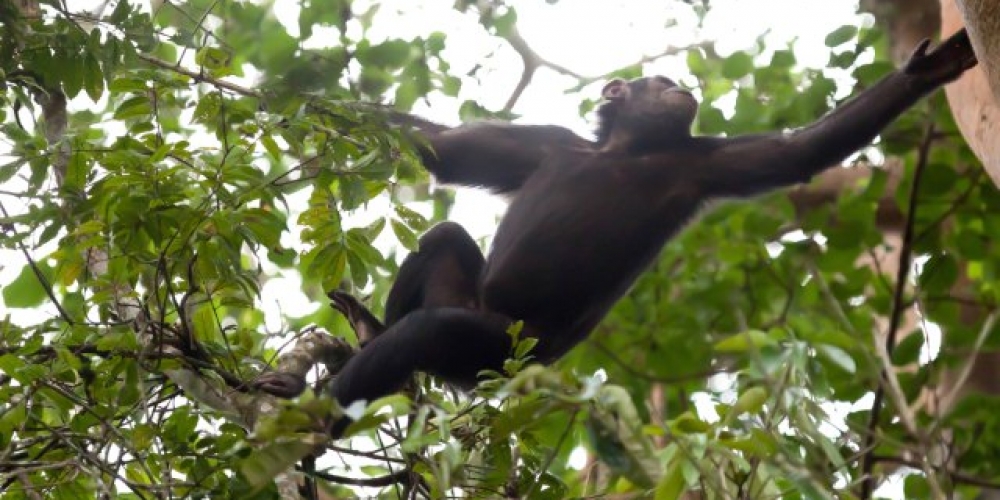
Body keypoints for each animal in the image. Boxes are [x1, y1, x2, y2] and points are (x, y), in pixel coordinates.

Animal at [254, 30, 972, 434]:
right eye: (660, 80)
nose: (680, 84)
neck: (627, 152)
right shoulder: (541, 145)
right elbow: (442, 148)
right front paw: (290, 96)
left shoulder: (705, 161)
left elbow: (801, 152)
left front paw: (926, 71)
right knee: (446, 240)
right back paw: (366, 333)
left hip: (500, 352)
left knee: (431, 331)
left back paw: (316, 412)